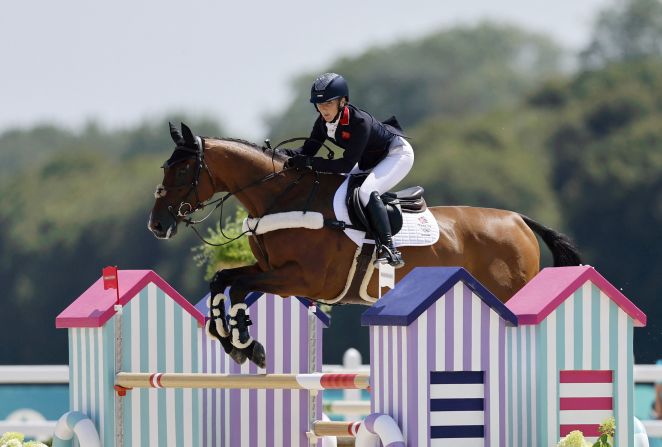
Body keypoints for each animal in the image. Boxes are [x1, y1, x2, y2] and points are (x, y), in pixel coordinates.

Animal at [149, 124, 580, 370]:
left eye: (183, 171)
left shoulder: (302, 279)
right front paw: (231, 340)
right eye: (166, 167)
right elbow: (222, 280)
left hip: (510, 292)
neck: (282, 197)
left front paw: (246, 344)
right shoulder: (270, 271)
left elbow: (236, 286)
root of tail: (519, 220)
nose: (157, 224)